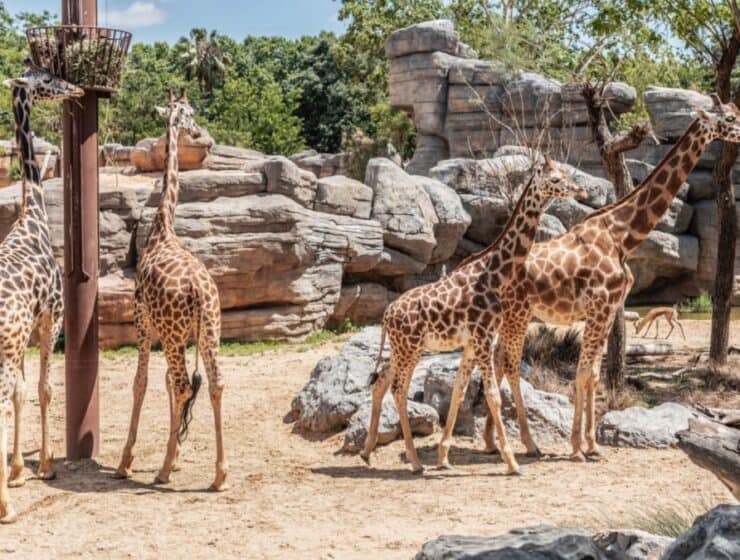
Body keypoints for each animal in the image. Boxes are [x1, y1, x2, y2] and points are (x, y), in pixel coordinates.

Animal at [112, 87, 227, 490]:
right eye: (187, 112)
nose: (196, 131)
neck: (163, 227)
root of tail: (198, 290)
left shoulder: (143, 320)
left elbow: (142, 381)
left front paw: (127, 461)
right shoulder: (170, 332)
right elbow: (160, 383)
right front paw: (175, 455)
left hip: (176, 335)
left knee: (181, 385)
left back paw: (161, 471)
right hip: (209, 331)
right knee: (214, 383)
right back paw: (220, 474)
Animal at [360, 156, 588, 472]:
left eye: (566, 174)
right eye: (555, 179)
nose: (581, 192)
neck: (494, 274)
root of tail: (386, 315)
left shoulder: (473, 343)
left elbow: (459, 390)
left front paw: (444, 457)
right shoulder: (482, 338)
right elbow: (493, 396)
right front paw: (511, 462)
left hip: (401, 349)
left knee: (382, 380)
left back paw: (367, 451)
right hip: (411, 349)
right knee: (398, 389)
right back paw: (415, 463)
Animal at [482, 93, 740, 460]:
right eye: (728, 119)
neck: (623, 236)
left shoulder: (608, 310)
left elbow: (593, 373)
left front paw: (591, 445)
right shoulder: (600, 307)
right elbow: (584, 373)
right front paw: (578, 447)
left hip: (508, 319)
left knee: (497, 363)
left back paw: (492, 442)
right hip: (516, 317)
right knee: (506, 365)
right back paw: (518, 443)